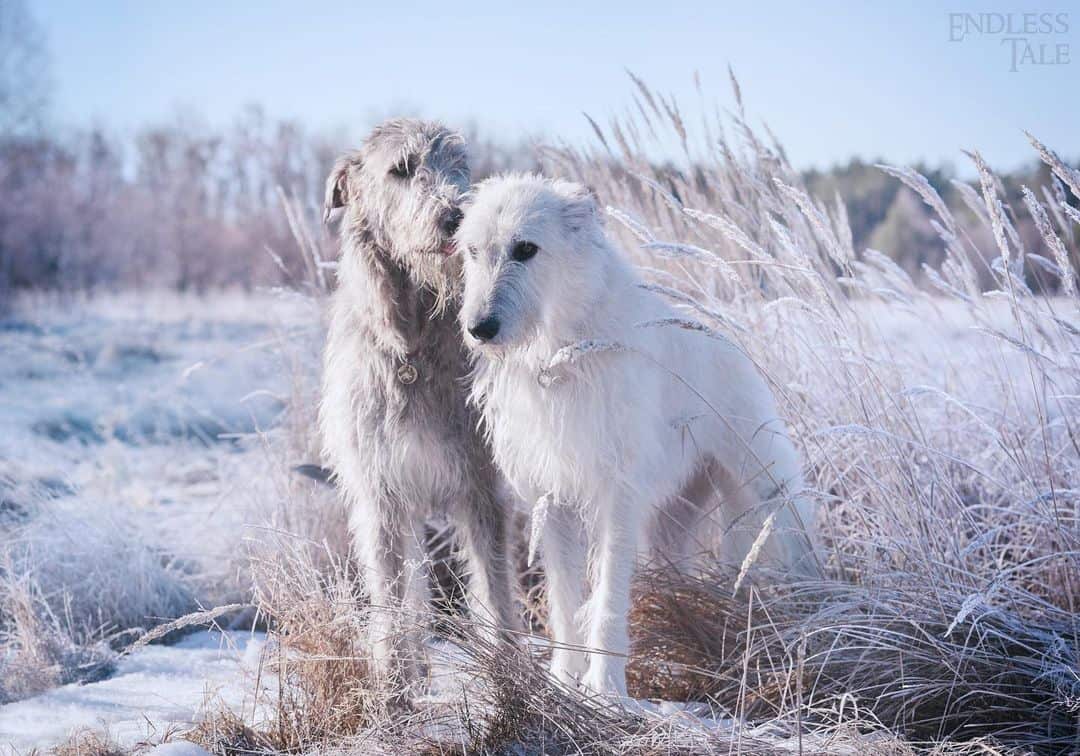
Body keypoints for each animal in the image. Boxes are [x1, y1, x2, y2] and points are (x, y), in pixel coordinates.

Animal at [317, 119, 516, 695]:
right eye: (401, 169)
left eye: (461, 166)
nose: (456, 215)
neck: (414, 345)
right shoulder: (380, 494)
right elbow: (390, 597)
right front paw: (394, 690)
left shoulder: (481, 487)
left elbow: (496, 591)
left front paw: (514, 684)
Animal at [451, 173, 812, 699]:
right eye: (474, 251)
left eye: (525, 249)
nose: (480, 328)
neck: (564, 351)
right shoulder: (554, 499)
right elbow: (564, 599)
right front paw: (564, 678)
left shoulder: (615, 494)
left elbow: (606, 596)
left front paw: (605, 687)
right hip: (672, 520)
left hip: (766, 489)